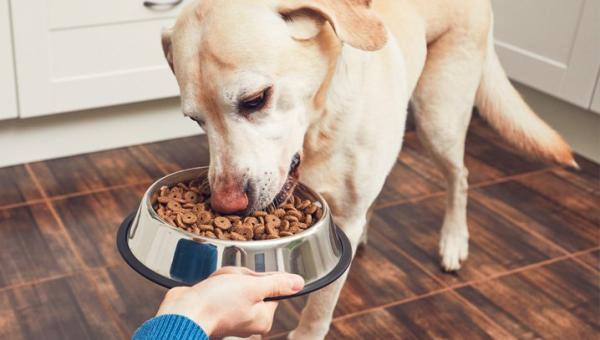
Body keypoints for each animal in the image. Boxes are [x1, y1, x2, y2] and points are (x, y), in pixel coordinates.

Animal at [161, 0, 576, 338]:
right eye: (195, 119)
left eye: (255, 99)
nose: (226, 205)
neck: (319, 126)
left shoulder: (343, 219)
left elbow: (321, 304)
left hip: (438, 117)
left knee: (460, 177)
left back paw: (454, 241)